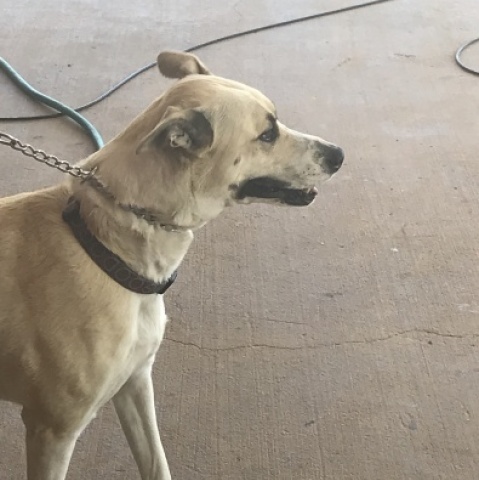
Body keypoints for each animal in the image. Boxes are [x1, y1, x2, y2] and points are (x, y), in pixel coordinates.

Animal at [0, 50, 343, 479]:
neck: (102, 242)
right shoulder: (52, 429)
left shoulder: (135, 382)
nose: (339, 155)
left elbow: (155, 461)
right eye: (267, 134)